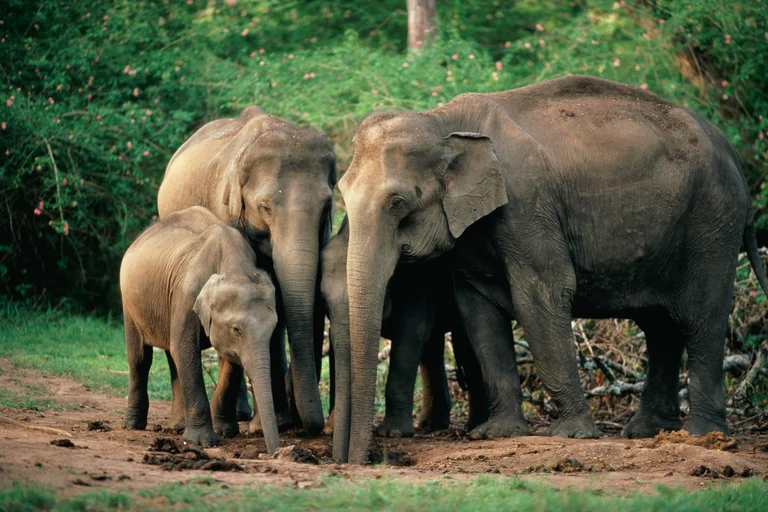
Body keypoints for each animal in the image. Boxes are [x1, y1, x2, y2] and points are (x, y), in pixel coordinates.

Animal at [118, 204, 280, 452]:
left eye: (273, 328)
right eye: (236, 329)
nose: (275, 452)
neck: (234, 265)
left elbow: (230, 361)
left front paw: (225, 431)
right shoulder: (186, 293)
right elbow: (186, 349)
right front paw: (202, 442)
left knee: (171, 355)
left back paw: (177, 426)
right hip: (130, 301)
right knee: (140, 358)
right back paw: (133, 425)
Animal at [158, 106, 334, 434]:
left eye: (327, 206)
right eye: (265, 207)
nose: (312, 425)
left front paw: (275, 423)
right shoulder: (226, 210)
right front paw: (260, 426)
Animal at [340, 76, 768, 464]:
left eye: (397, 203)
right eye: (342, 192)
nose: (365, 460)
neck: (442, 119)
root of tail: (731, 151)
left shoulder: (527, 205)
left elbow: (541, 296)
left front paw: (573, 435)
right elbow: (477, 310)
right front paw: (497, 434)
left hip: (712, 222)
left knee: (701, 317)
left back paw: (701, 435)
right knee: (660, 325)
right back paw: (648, 431)